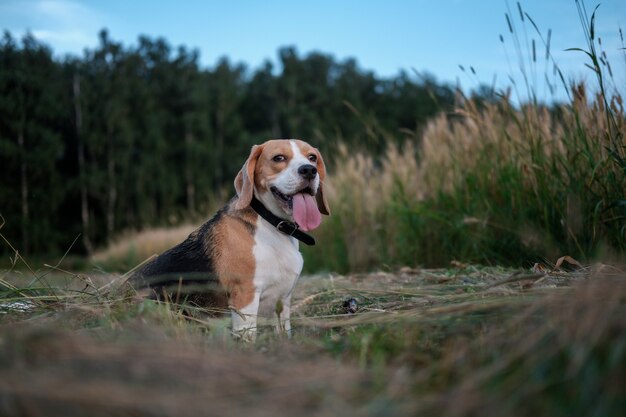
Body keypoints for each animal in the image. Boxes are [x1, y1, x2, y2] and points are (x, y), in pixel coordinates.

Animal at [129, 138, 330, 340]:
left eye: (312, 157)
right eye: (279, 158)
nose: (309, 170)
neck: (272, 225)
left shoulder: (283, 301)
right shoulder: (245, 297)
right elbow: (249, 336)